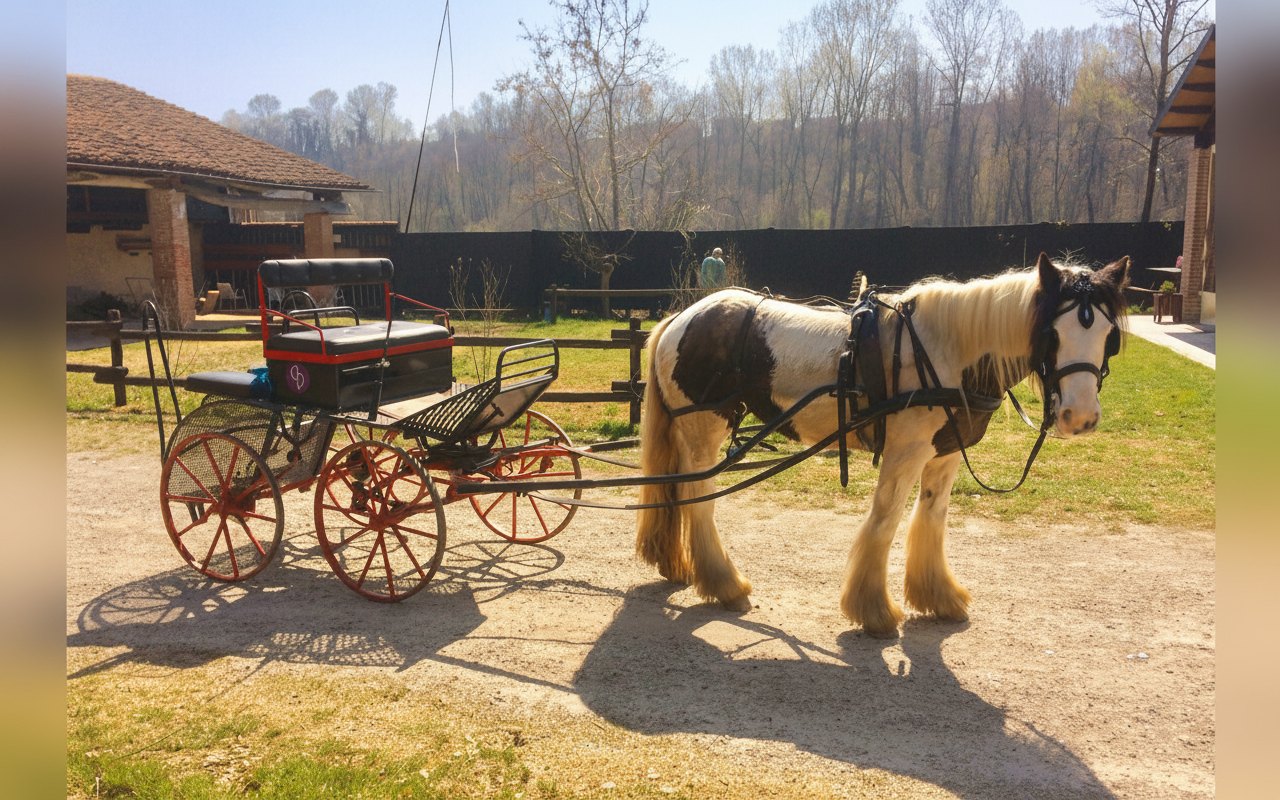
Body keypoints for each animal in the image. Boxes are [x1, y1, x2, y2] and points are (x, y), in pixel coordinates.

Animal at [635, 253, 1129, 638]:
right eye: (1052, 333)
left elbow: (932, 517)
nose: (1080, 417)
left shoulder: (945, 454)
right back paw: (725, 584)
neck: (947, 350)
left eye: (1109, 338)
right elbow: (886, 519)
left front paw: (938, 596)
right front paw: (872, 609)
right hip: (705, 427)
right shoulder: (906, 451)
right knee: (698, 498)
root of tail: (682, 318)